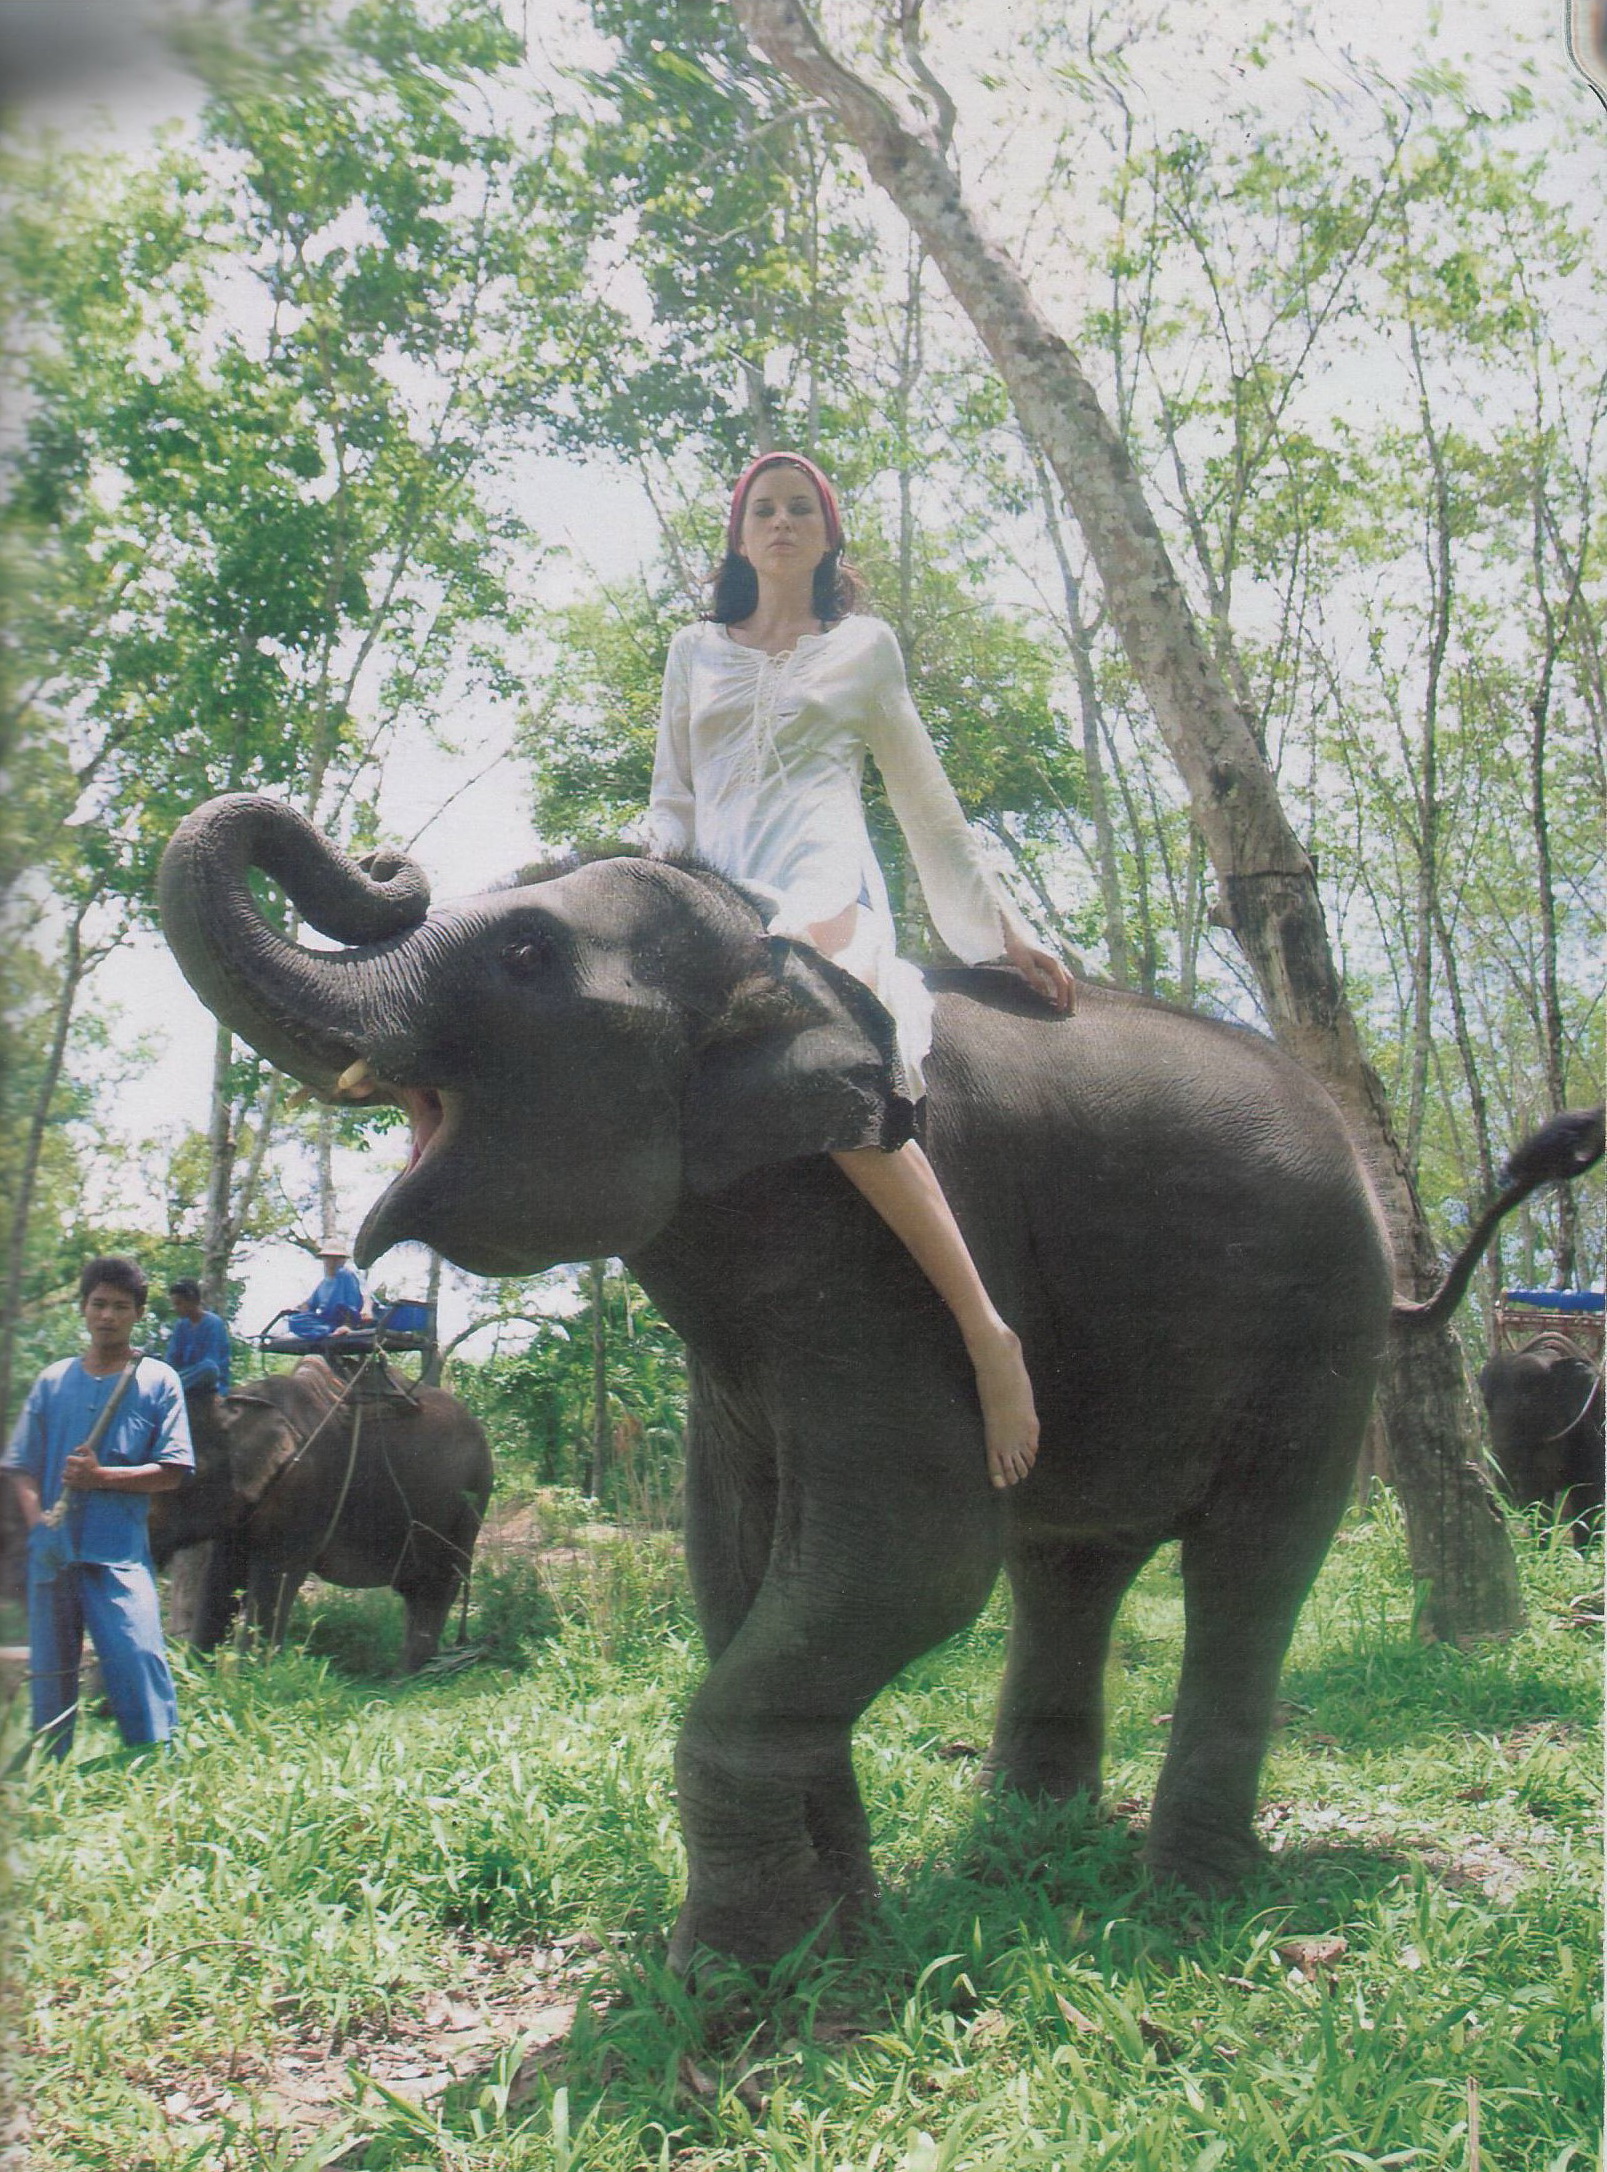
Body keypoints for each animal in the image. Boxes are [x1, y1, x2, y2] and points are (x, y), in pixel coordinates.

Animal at [148, 1357, 493, 1674]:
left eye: (185, 1475)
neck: (245, 1400)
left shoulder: (305, 1490)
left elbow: (276, 1578)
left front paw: (250, 1679)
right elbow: (220, 1576)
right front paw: (200, 1677)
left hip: (468, 1504)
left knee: (438, 1585)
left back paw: (410, 1678)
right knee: (415, 1589)